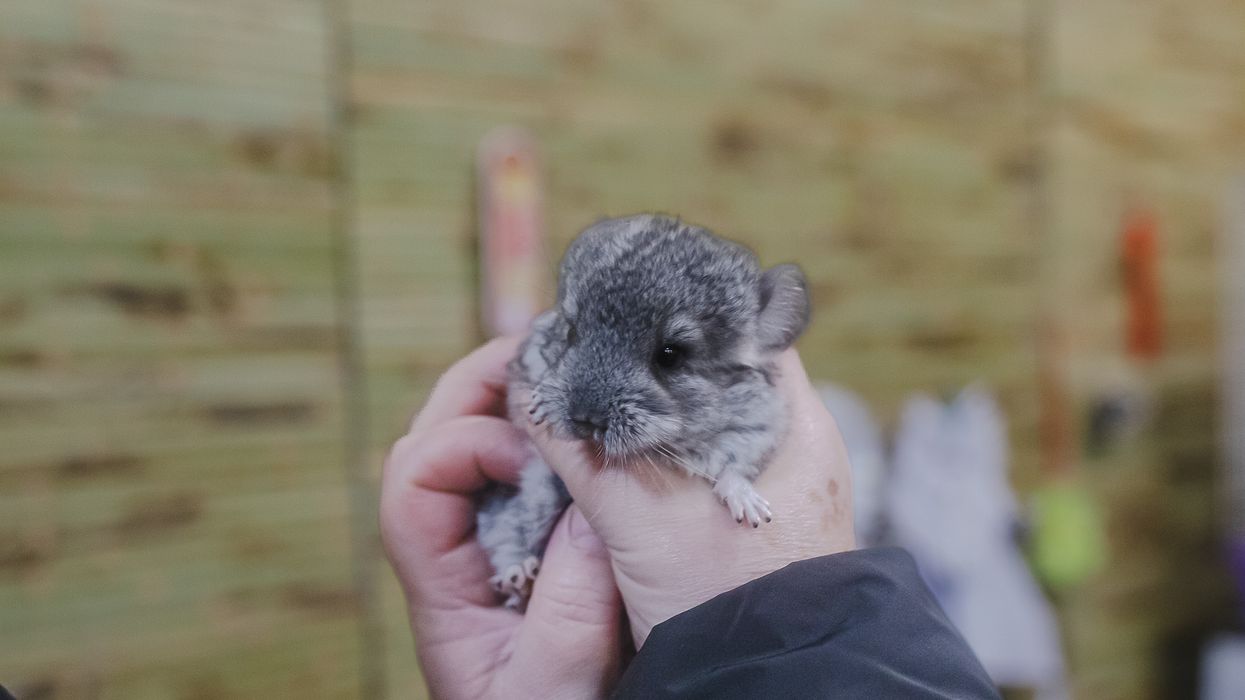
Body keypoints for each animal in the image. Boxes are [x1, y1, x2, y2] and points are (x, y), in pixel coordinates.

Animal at [476, 213, 811, 608]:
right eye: (570, 333)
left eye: (670, 355)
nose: (586, 418)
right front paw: (540, 400)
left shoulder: (759, 428)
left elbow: (736, 469)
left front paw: (750, 508)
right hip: (533, 499)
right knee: (503, 531)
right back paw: (518, 575)